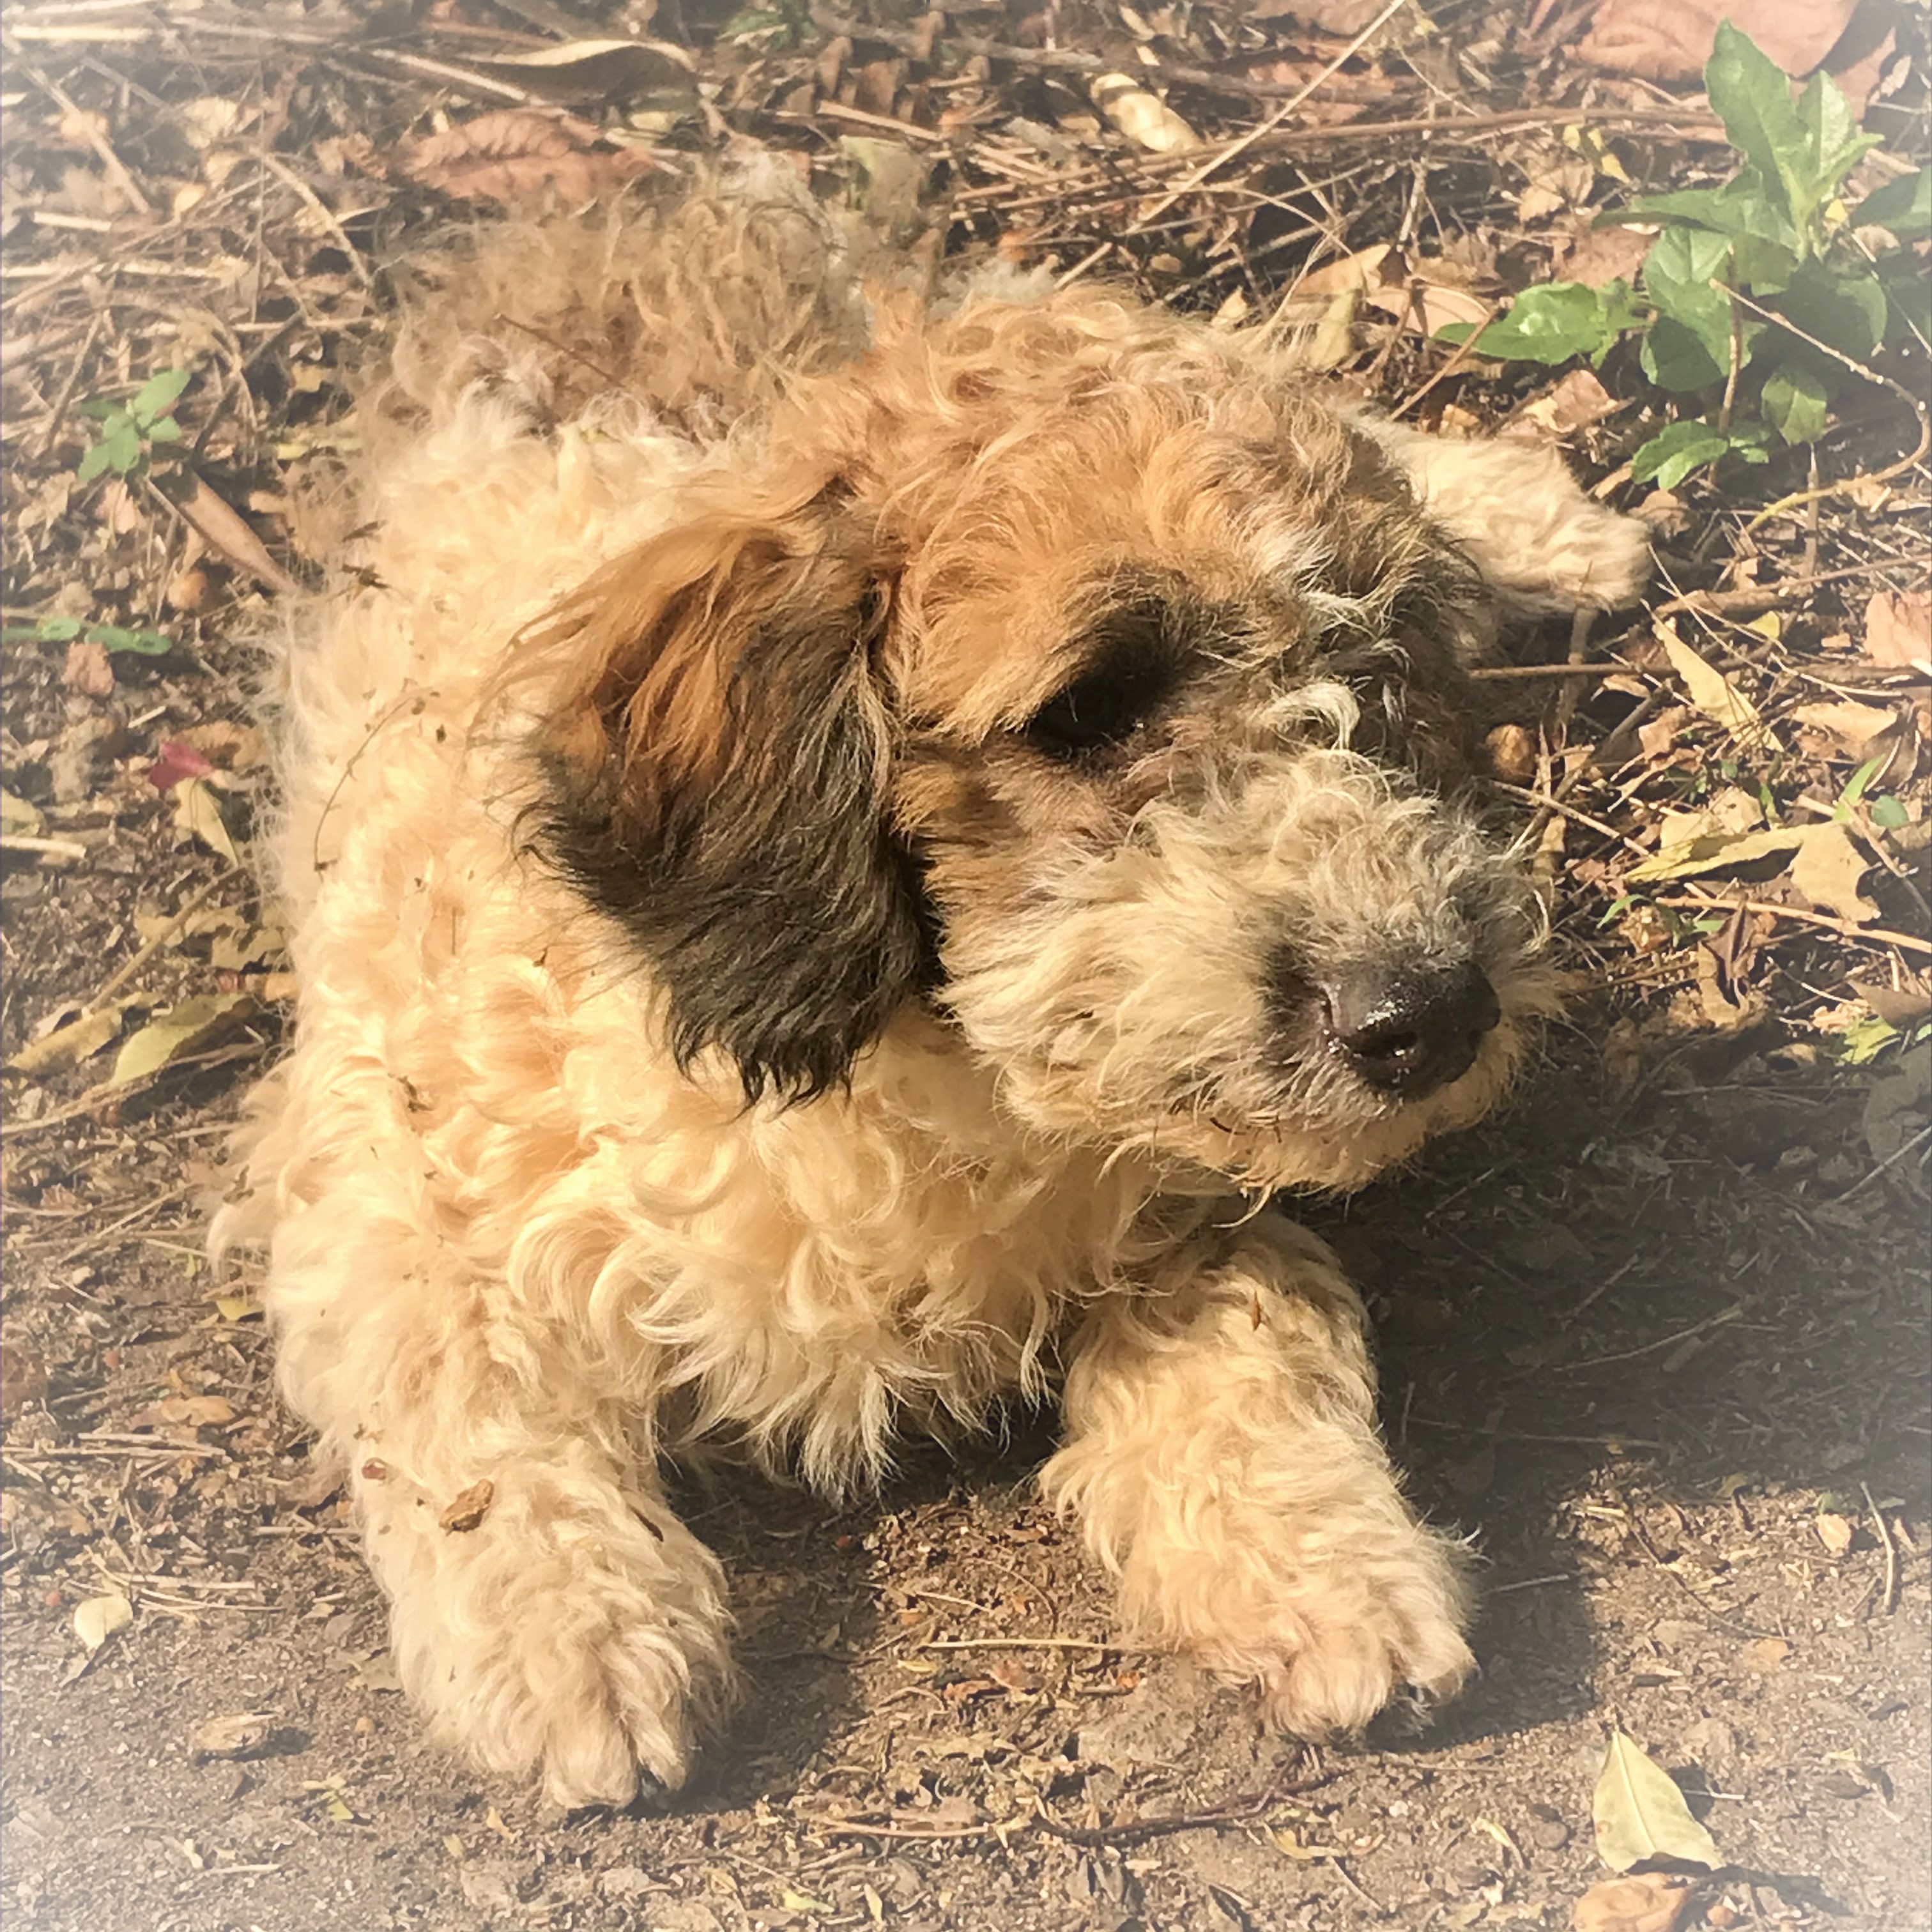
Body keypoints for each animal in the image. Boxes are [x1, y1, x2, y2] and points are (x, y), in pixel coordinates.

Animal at [222, 170, 1646, 1808]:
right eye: (1088, 708)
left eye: (1377, 685)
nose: (1435, 1015)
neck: (894, 1076)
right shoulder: (376, 1165)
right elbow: (461, 1394)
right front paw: (568, 1640)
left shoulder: (1183, 1199)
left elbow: (1256, 1340)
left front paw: (1330, 1566)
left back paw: (1545, 522)